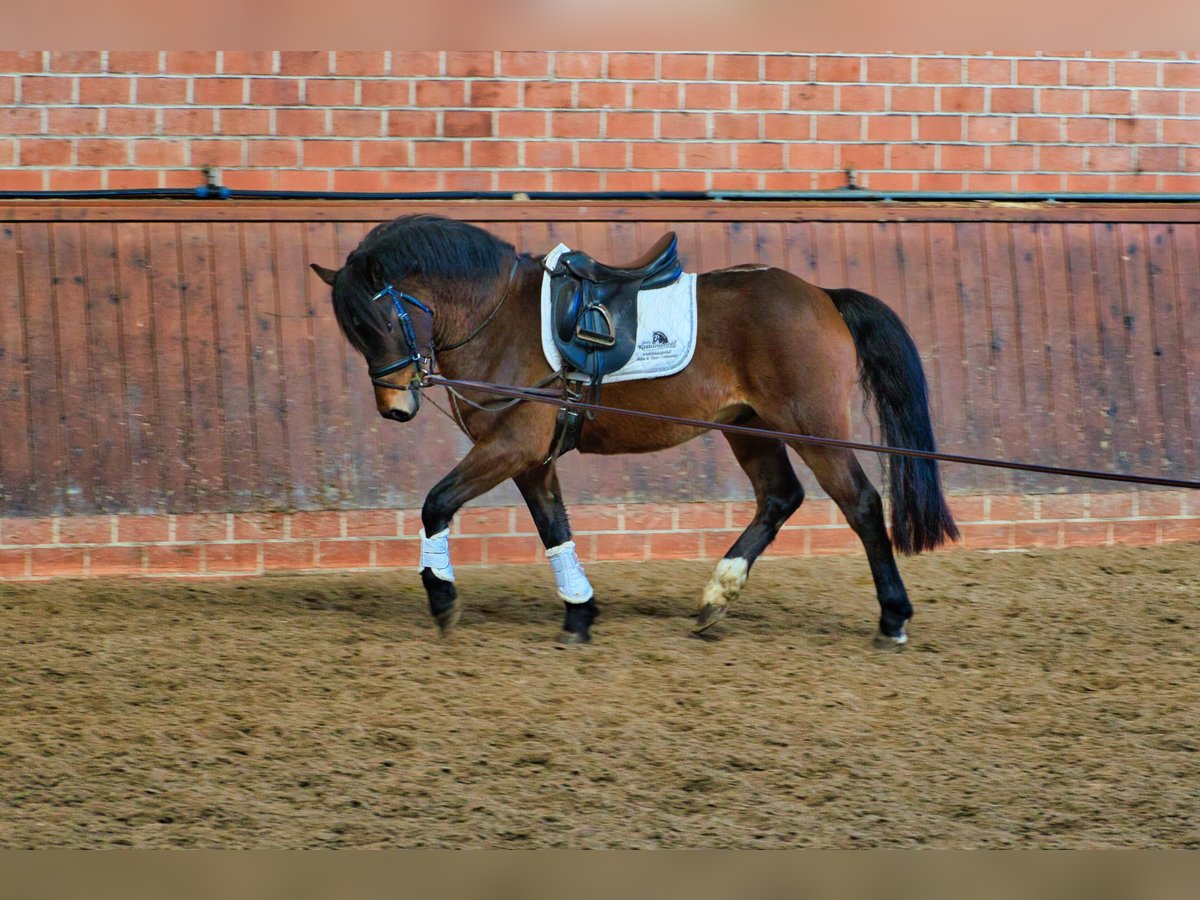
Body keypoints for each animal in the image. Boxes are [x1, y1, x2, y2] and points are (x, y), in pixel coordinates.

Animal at [314, 213, 960, 643]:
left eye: (377, 322)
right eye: (355, 331)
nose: (394, 407)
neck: (496, 318)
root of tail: (821, 295)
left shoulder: (512, 444)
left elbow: (436, 502)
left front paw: (443, 596)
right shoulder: (532, 456)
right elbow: (553, 528)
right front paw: (579, 612)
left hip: (812, 426)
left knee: (861, 502)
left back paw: (893, 617)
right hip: (748, 427)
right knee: (780, 497)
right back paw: (716, 598)